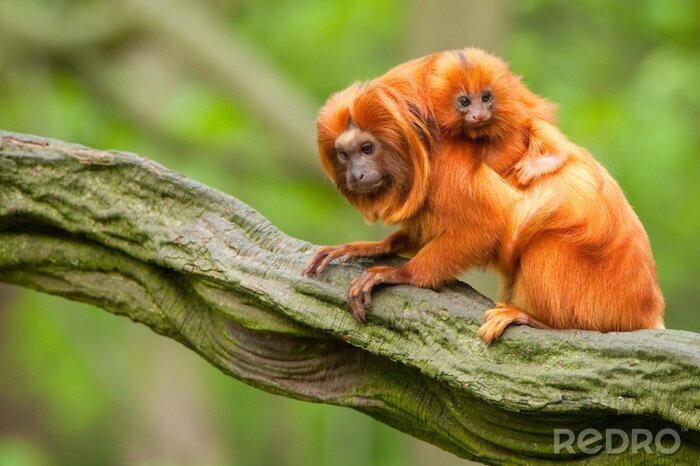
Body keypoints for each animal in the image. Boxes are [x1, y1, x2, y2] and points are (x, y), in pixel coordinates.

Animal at [302, 79, 522, 322]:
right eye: (344, 155)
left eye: (367, 149)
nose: (356, 175)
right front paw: (370, 247)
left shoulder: (448, 175)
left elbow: (487, 225)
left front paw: (399, 273)